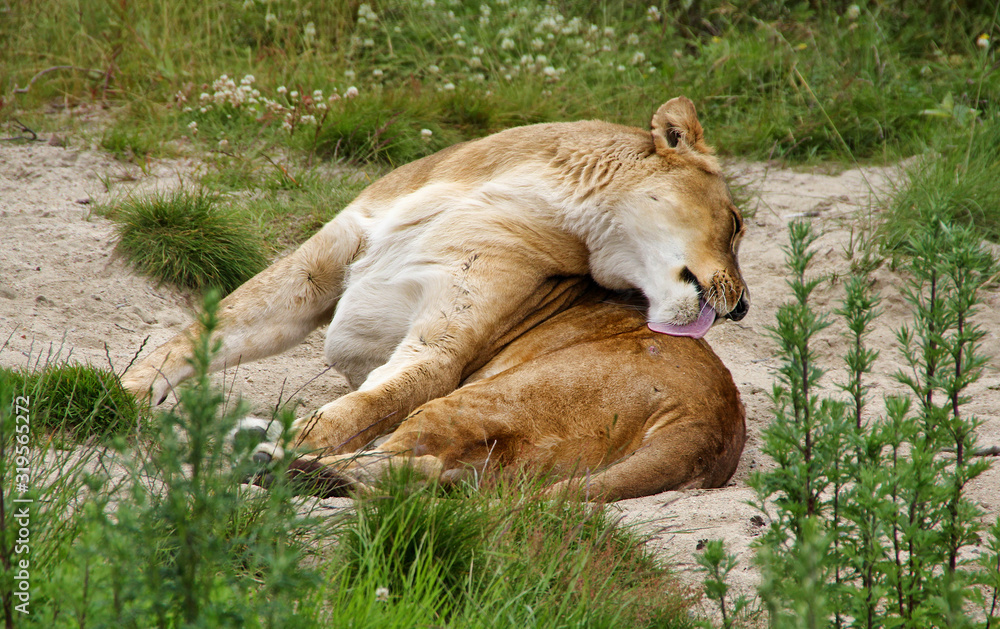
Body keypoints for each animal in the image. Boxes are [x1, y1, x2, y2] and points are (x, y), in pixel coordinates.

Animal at [122, 96, 749, 501]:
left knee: (412, 466)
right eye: (739, 223)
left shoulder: (442, 348)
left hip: (487, 397)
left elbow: (356, 410)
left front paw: (298, 435)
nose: (743, 306)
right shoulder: (312, 272)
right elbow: (201, 333)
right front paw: (116, 394)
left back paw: (267, 459)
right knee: (439, 477)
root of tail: (712, 426)